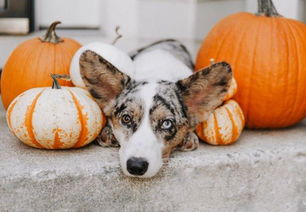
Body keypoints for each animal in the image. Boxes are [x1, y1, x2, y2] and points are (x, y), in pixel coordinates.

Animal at [79, 39, 232, 177]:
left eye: (166, 123)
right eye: (126, 118)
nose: (136, 166)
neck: (157, 73)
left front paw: (188, 138)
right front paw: (108, 133)